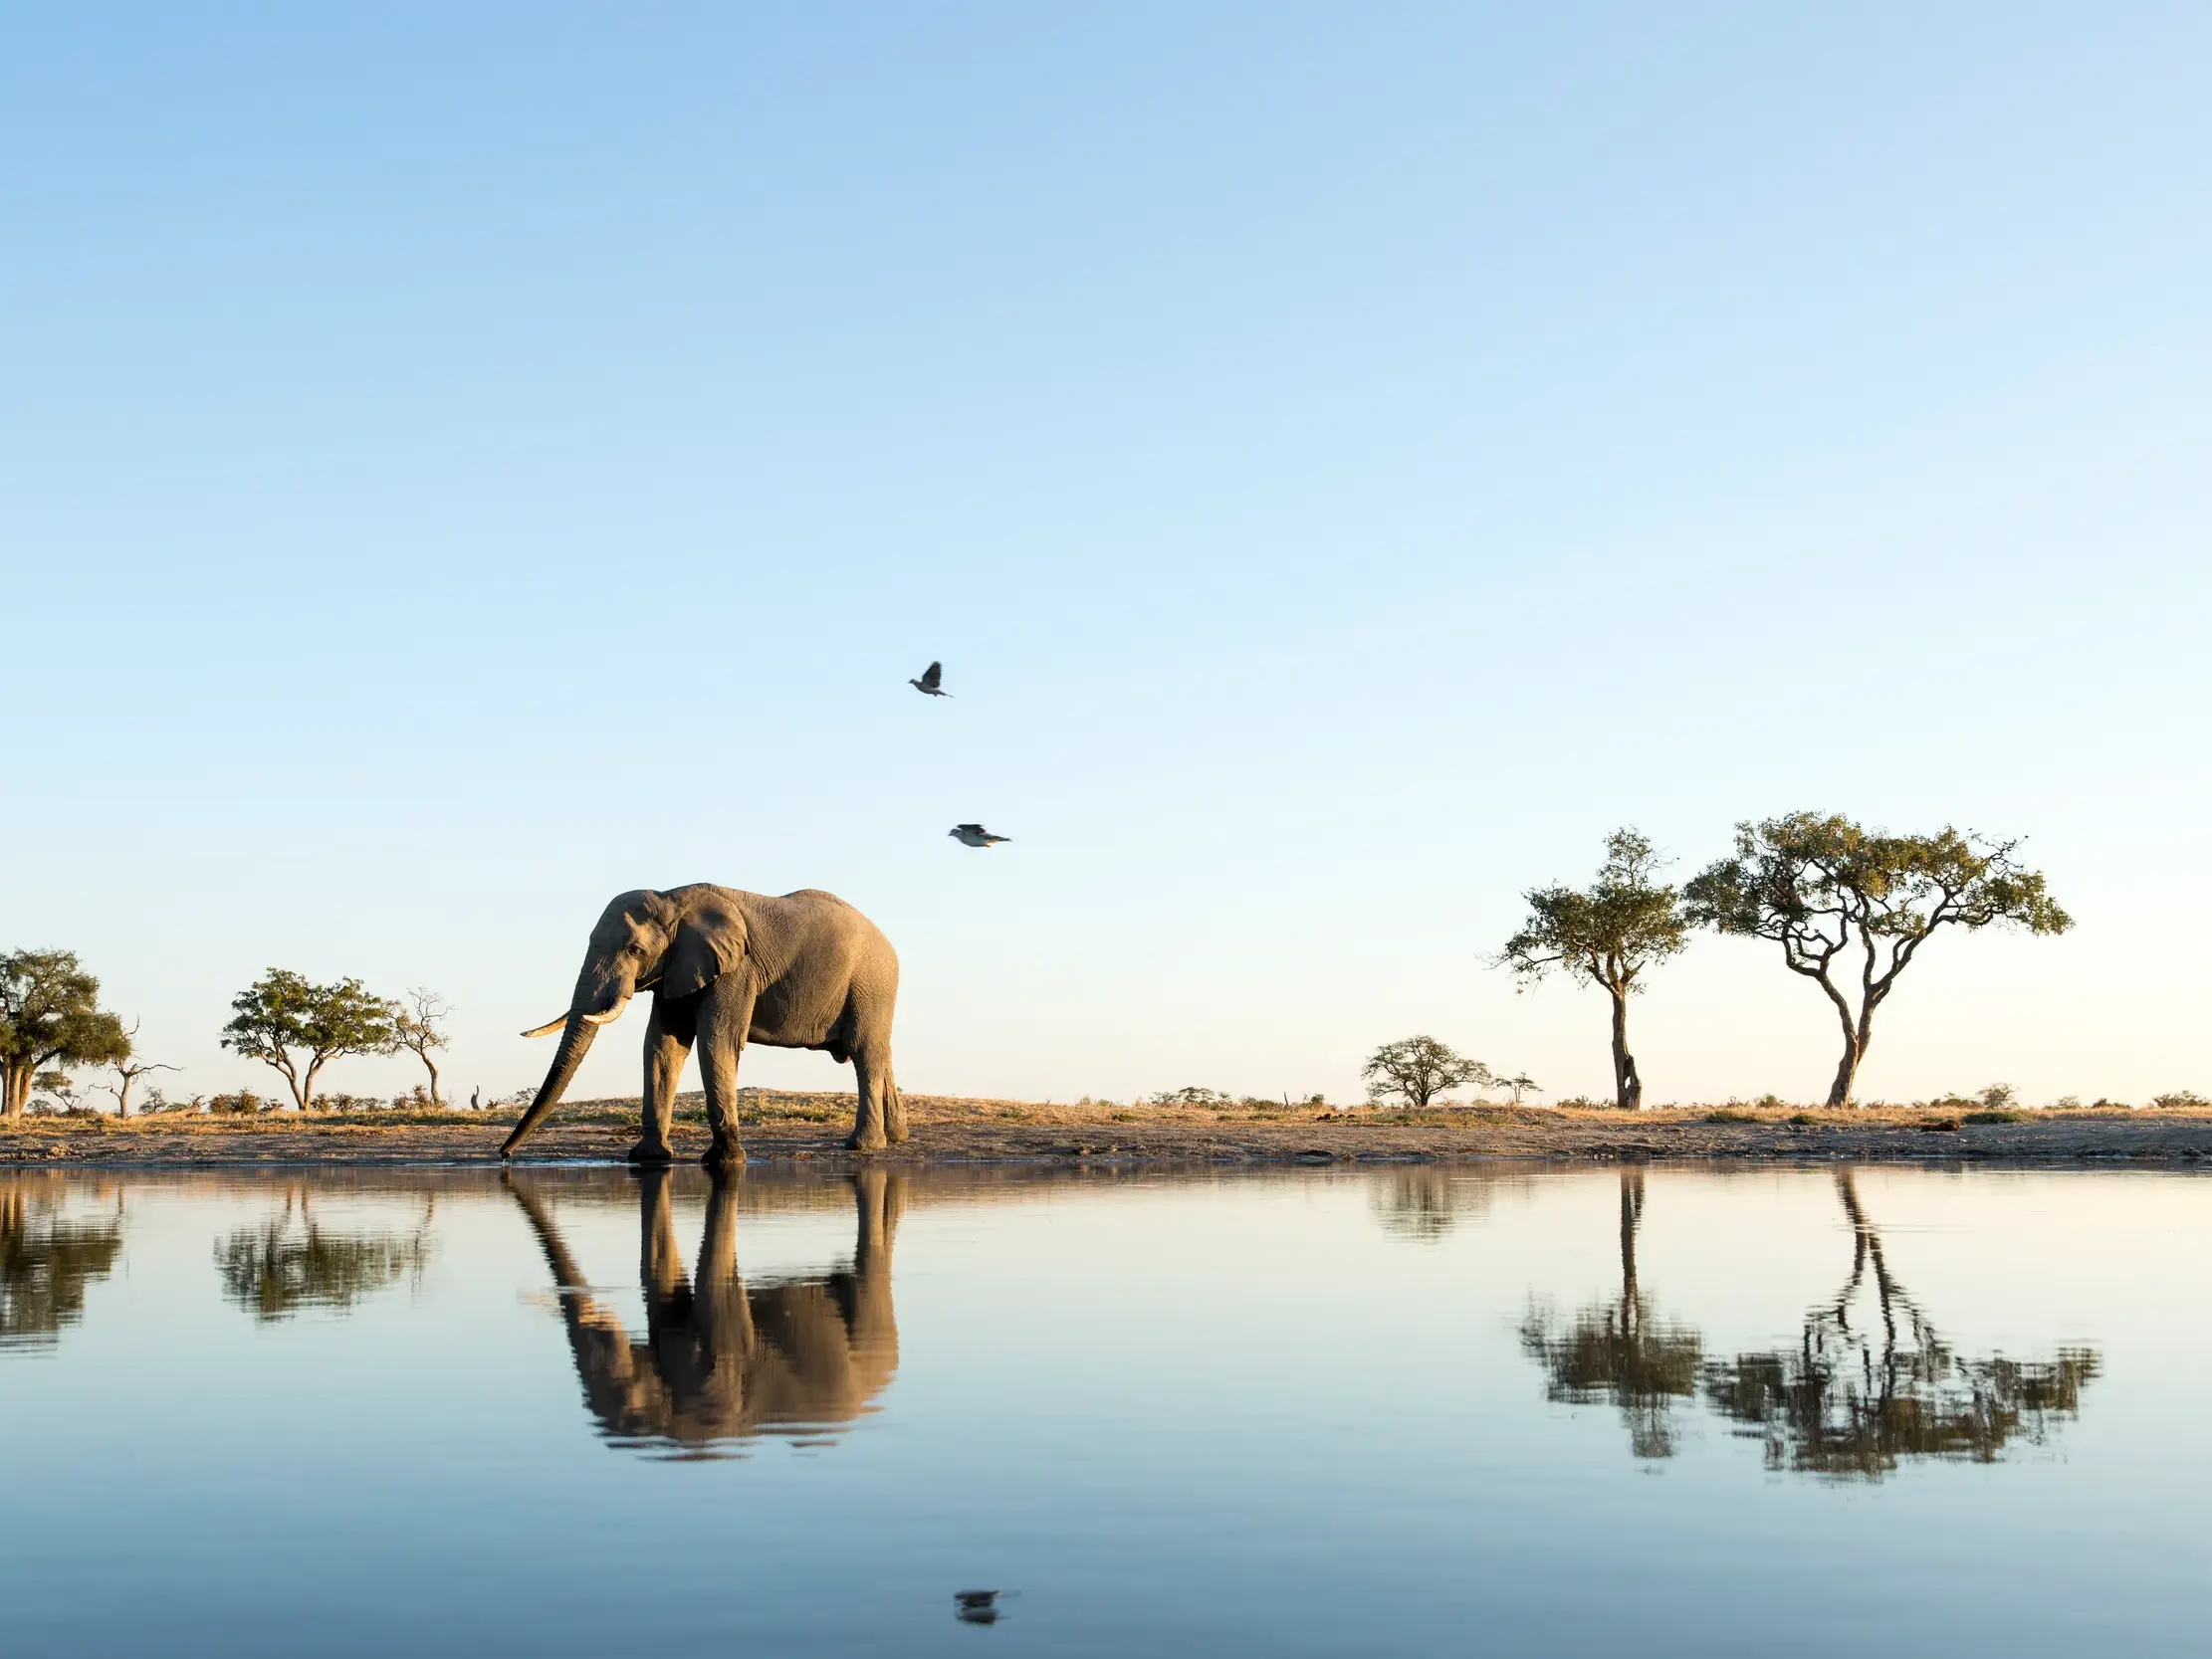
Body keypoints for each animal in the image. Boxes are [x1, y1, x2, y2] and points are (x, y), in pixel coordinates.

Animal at [502, 883, 904, 1167]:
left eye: (634, 950)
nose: (504, 1156)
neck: (672, 899)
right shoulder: (676, 970)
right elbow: (663, 1045)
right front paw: (650, 1158)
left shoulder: (736, 969)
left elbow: (717, 1039)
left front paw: (725, 1161)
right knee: (880, 1052)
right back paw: (897, 1136)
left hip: (871, 983)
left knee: (865, 1052)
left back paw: (863, 1145)